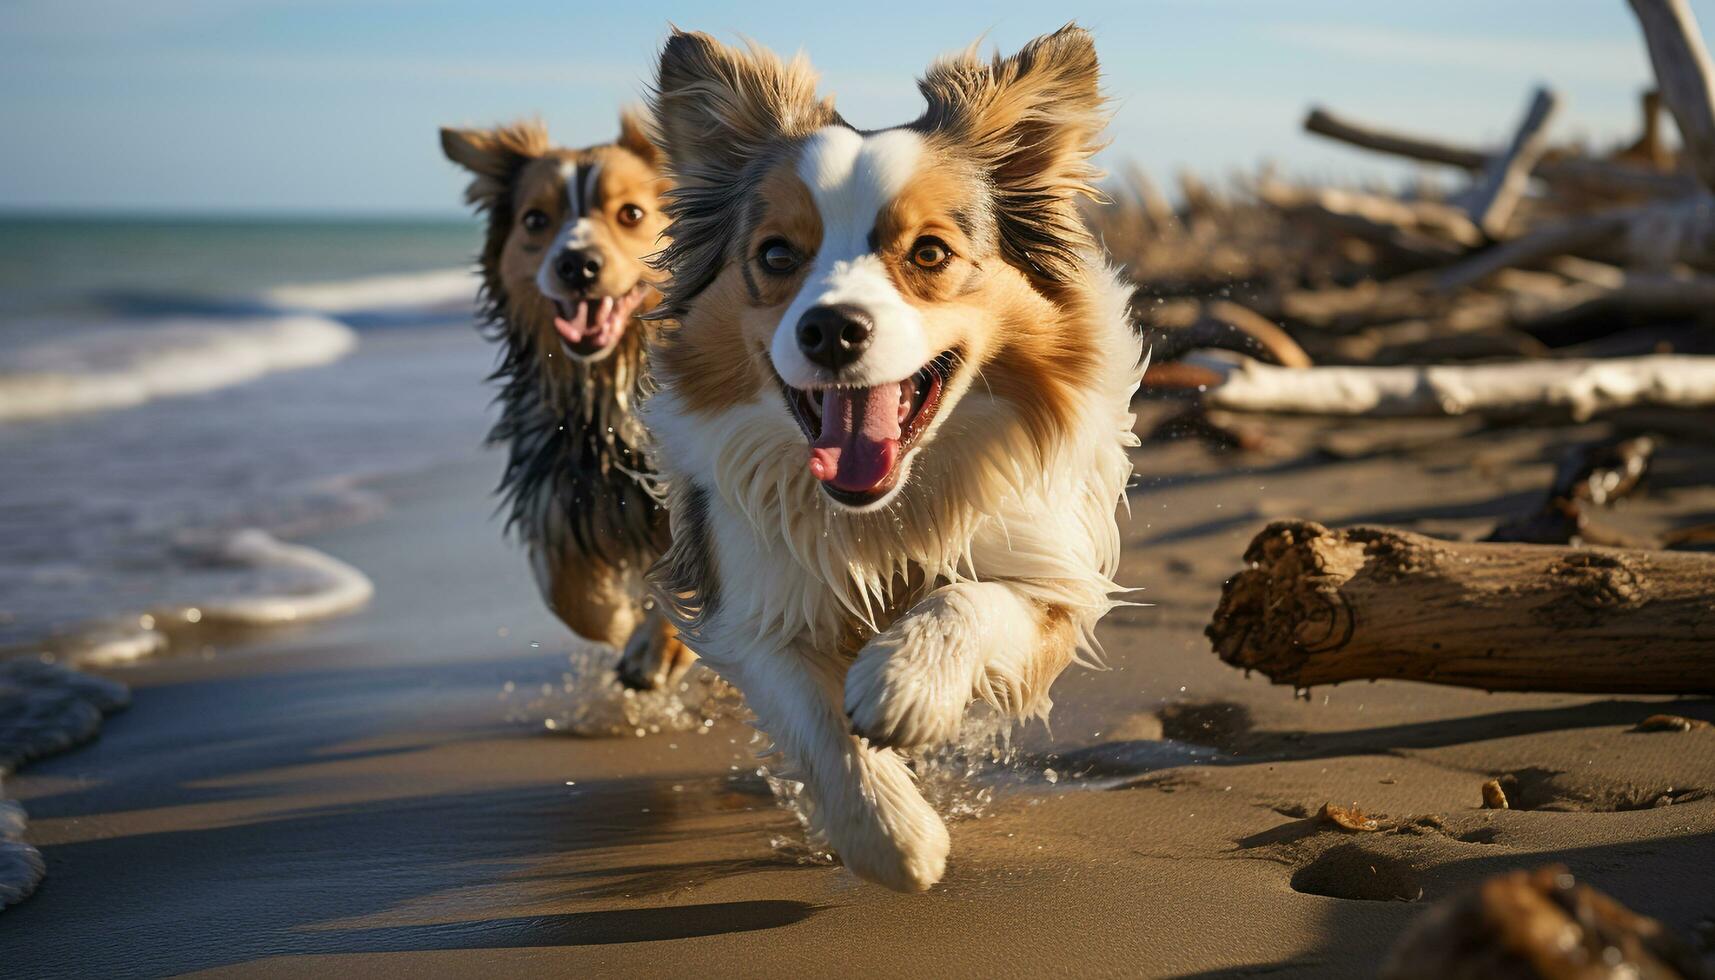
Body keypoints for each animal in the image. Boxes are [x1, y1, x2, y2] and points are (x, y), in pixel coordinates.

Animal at [442, 114, 696, 689]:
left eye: (630, 214)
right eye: (536, 220)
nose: (577, 264)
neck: (609, 384)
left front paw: (659, 647)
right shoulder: (560, 477)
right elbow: (567, 594)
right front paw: (622, 622)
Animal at [644, 26, 1138, 892]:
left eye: (930, 253)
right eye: (777, 255)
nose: (831, 329)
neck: (889, 510)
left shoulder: (1052, 583)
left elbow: (970, 598)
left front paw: (903, 683)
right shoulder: (755, 602)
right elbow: (816, 724)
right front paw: (893, 837)